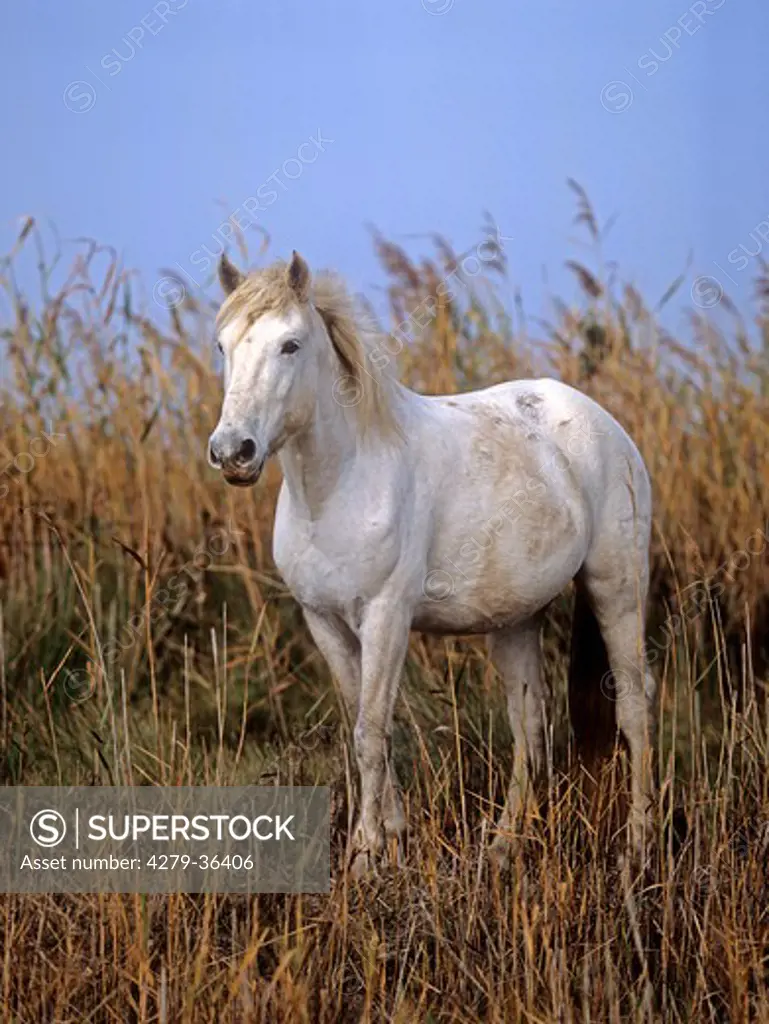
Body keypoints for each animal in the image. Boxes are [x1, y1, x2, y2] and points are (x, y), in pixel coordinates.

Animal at [208, 251, 655, 876]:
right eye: (223, 345)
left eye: (290, 345)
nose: (233, 452)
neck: (340, 484)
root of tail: (606, 426)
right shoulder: (324, 622)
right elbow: (364, 726)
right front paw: (391, 838)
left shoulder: (386, 618)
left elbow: (371, 733)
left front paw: (364, 857)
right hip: (517, 621)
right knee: (530, 725)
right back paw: (502, 848)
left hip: (617, 588)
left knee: (634, 706)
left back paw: (637, 847)